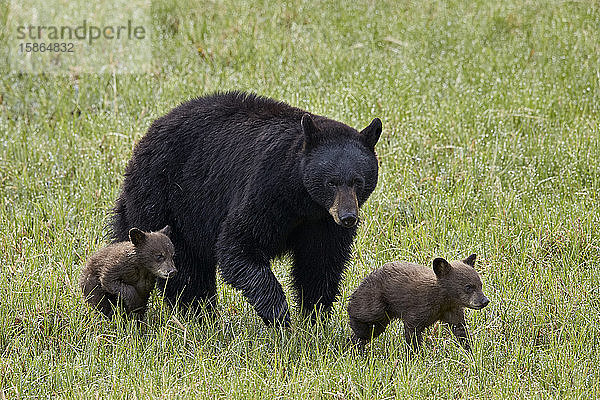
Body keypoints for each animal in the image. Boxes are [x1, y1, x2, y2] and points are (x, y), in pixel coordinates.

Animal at [110, 91, 382, 324]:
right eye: (331, 182)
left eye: (358, 181)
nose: (348, 217)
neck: (303, 201)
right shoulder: (266, 190)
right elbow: (238, 244)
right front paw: (279, 314)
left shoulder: (322, 222)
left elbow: (320, 263)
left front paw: (314, 317)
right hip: (166, 201)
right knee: (185, 269)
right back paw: (198, 316)